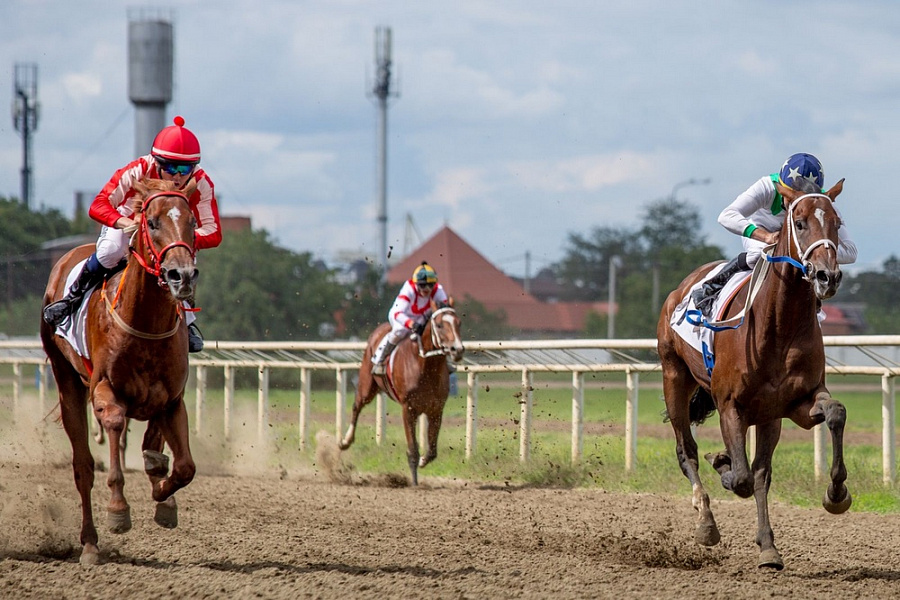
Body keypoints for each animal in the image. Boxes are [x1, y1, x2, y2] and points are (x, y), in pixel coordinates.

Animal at [40, 178, 200, 568]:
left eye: (192, 222)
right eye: (152, 223)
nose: (182, 275)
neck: (145, 322)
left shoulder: (171, 400)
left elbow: (183, 466)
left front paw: (163, 497)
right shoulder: (104, 389)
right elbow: (113, 426)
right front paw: (118, 510)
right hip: (66, 379)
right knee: (82, 467)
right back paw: (90, 544)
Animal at [338, 302, 464, 486]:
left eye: (458, 323)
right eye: (440, 325)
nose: (458, 350)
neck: (426, 366)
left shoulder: (436, 410)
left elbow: (432, 450)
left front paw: (423, 461)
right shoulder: (408, 409)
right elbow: (412, 450)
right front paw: (415, 483)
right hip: (367, 385)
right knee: (357, 406)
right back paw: (345, 441)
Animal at [652, 177, 852, 568]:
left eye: (837, 223)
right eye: (799, 223)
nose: (828, 277)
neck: (778, 325)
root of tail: (679, 289)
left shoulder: (797, 402)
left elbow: (835, 413)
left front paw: (836, 495)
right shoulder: (730, 405)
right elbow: (742, 477)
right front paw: (724, 465)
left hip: (768, 415)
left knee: (760, 470)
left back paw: (767, 546)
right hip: (674, 376)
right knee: (687, 450)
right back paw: (706, 522)